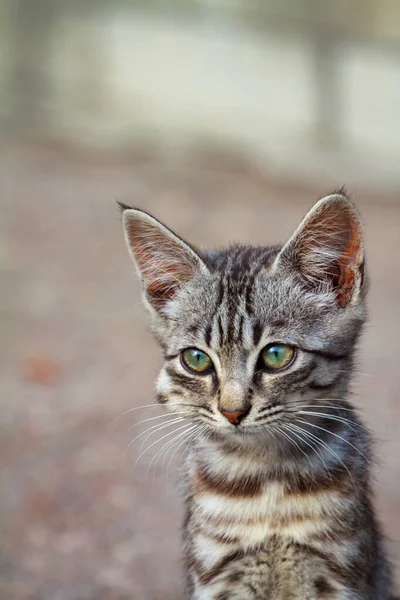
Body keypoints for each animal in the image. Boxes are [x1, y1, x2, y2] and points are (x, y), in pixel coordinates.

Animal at [119, 193, 396, 600]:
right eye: (196, 360)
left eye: (277, 355)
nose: (233, 412)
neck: (265, 481)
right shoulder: (216, 570)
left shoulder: (339, 568)